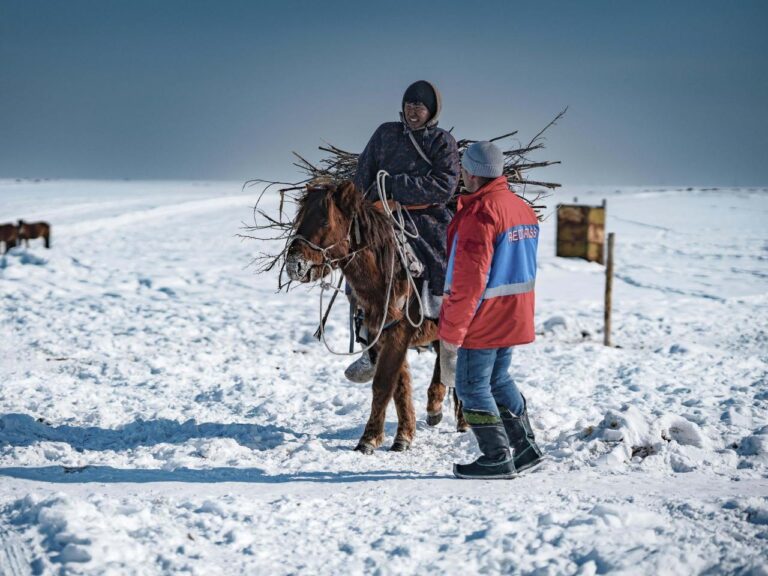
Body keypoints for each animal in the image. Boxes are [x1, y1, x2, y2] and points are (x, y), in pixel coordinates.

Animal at [284, 181, 464, 454]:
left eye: (325, 221)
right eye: (300, 218)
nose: (295, 265)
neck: (386, 274)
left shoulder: (399, 333)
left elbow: (383, 382)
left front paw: (369, 439)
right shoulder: (380, 333)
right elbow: (399, 385)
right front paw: (403, 435)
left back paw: (463, 420)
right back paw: (434, 408)